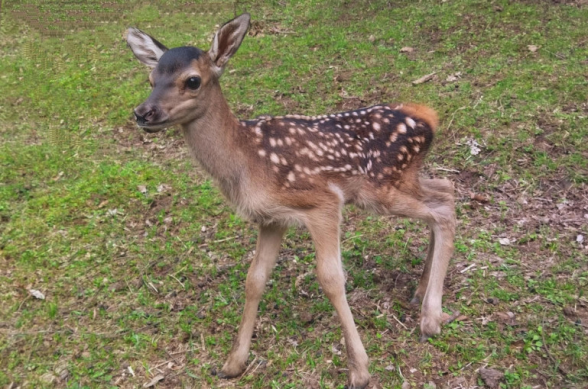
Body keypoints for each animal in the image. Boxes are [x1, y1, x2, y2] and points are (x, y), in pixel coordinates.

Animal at [124, 12, 454, 388]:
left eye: (192, 80)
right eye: (151, 78)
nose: (143, 112)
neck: (247, 160)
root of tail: (427, 115)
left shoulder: (323, 202)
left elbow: (331, 279)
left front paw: (360, 368)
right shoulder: (272, 219)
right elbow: (254, 279)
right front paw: (233, 362)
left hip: (380, 187)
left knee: (443, 210)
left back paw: (431, 318)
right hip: (401, 180)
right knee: (445, 189)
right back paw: (421, 293)